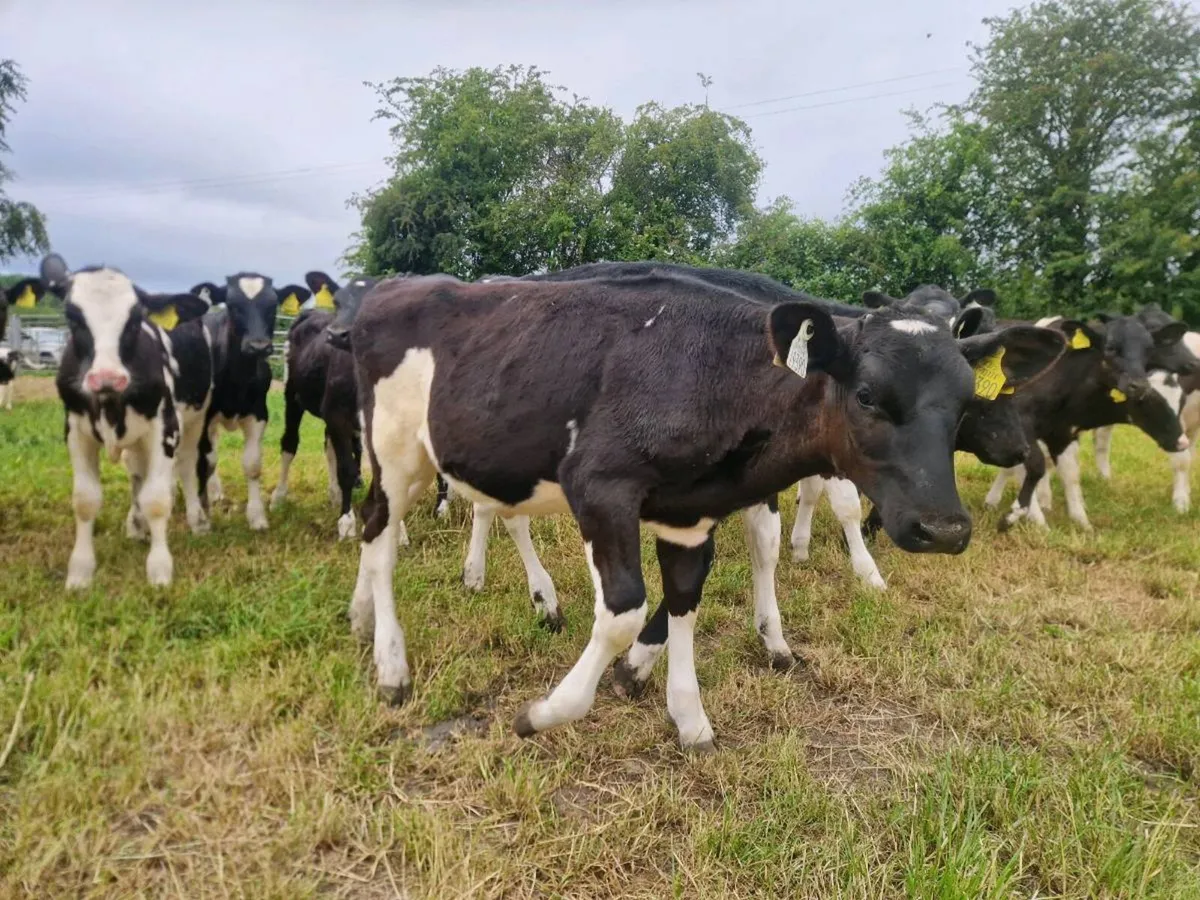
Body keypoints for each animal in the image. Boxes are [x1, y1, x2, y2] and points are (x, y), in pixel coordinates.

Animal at [39, 254, 213, 588]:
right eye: (72, 317)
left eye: (134, 320)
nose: (107, 377)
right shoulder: (75, 431)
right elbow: (85, 500)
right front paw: (80, 571)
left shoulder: (164, 427)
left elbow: (157, 499)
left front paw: (159, 569)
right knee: (137, 474)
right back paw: (136, 525)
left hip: (195, 419)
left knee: (185, 465)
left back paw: (197, 521)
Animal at [190, 274, 308, 532]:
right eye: (233, 306)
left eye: (272, 306)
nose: (258, 346)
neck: (238, 378)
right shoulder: (205, 415)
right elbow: (206, 461)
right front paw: (203, 514)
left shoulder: (258, 413)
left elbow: (252, 465)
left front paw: (257, 516)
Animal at [347, 271, 1063, 750]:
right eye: (865, 394)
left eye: (967, 401)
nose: (943, 528)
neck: (708, 372)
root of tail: (393, 286)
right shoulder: (600, 485)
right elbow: (624, 611)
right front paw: (547, 712)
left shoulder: (688, 514)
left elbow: (685, 598)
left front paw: (689, 717)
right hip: (394, 447)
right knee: (379, 531)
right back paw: (391, 668)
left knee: (418, 519)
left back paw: (373, 617)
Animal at [983, 313, 1190, 530]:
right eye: (1111, 347)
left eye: (1149, 350)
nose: (1182, 442)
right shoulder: (1022, 428)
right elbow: (1033, 466)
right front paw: (1032, 520)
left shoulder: (1061, 432)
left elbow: (1070, 474)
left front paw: (1081, 521)